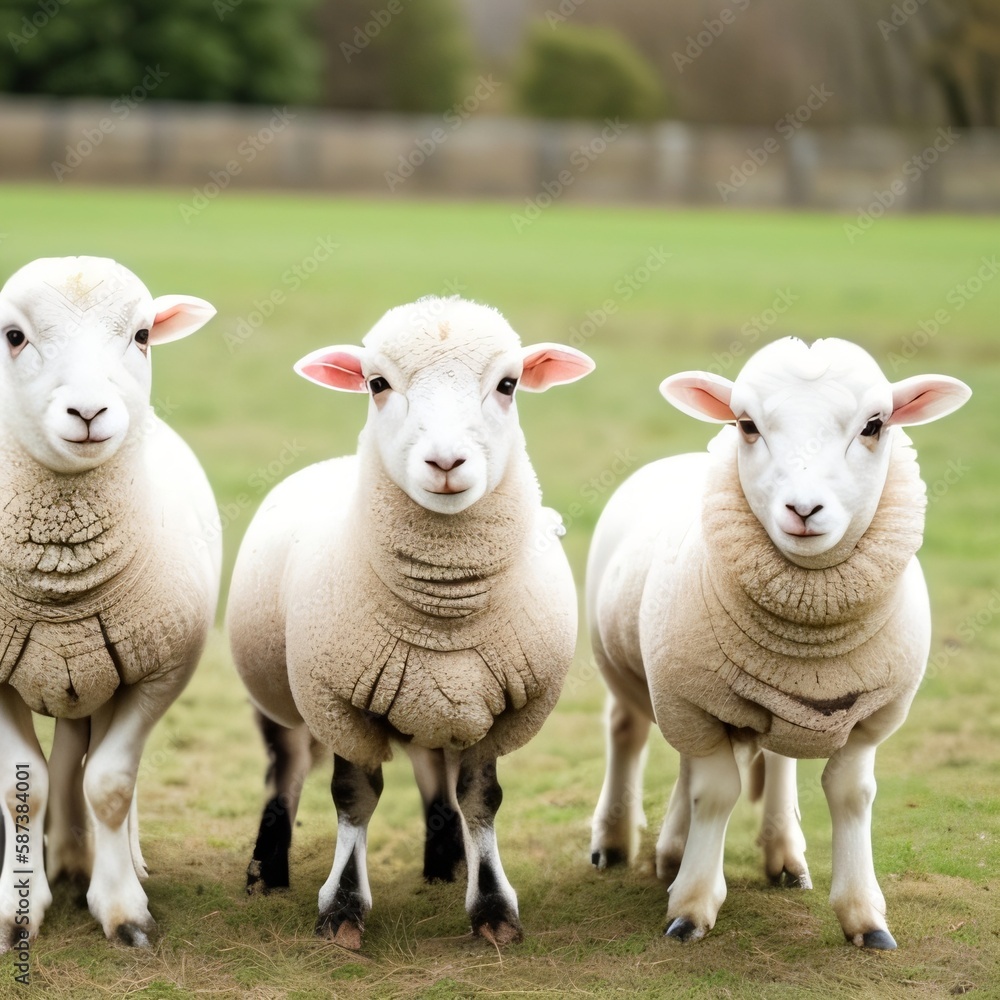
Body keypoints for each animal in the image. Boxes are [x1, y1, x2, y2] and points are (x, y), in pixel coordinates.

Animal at [0, 256, 221, 950]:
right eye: (13, 336)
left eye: (143, 336)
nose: (90, 410)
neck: (61, 593)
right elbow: (22, 784)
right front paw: (18, 907)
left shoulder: (160, 672)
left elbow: (111, 782)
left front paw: (123, 908)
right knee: (66, 755)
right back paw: (68, 856)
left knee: (84, 758)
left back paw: (94, 857)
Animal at [227, 296, 594, 949]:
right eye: (377, 383)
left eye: (508, 384)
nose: (445, 462)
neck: (441, 618)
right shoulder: (338, 704)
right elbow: (353, 796)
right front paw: (342, 911)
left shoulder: (501, 711)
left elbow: (481, 798)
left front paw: (492, 908)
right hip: (282, 697)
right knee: (285, 772)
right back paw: (267, 872)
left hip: (434, 702)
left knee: (432, 774)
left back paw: (444, 864)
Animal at [588, 336, 970, 949]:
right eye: (746, 425)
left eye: (875, 425)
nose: (804, 509)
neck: (809, 639)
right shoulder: (689, 700)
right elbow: (717, 792)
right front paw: (692, 906)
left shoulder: (870, 719)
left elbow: (851, 794)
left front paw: (865, 917)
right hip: (636, 675)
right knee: (628, 733)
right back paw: (616, 842)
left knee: (762, 757)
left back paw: (768, 854)